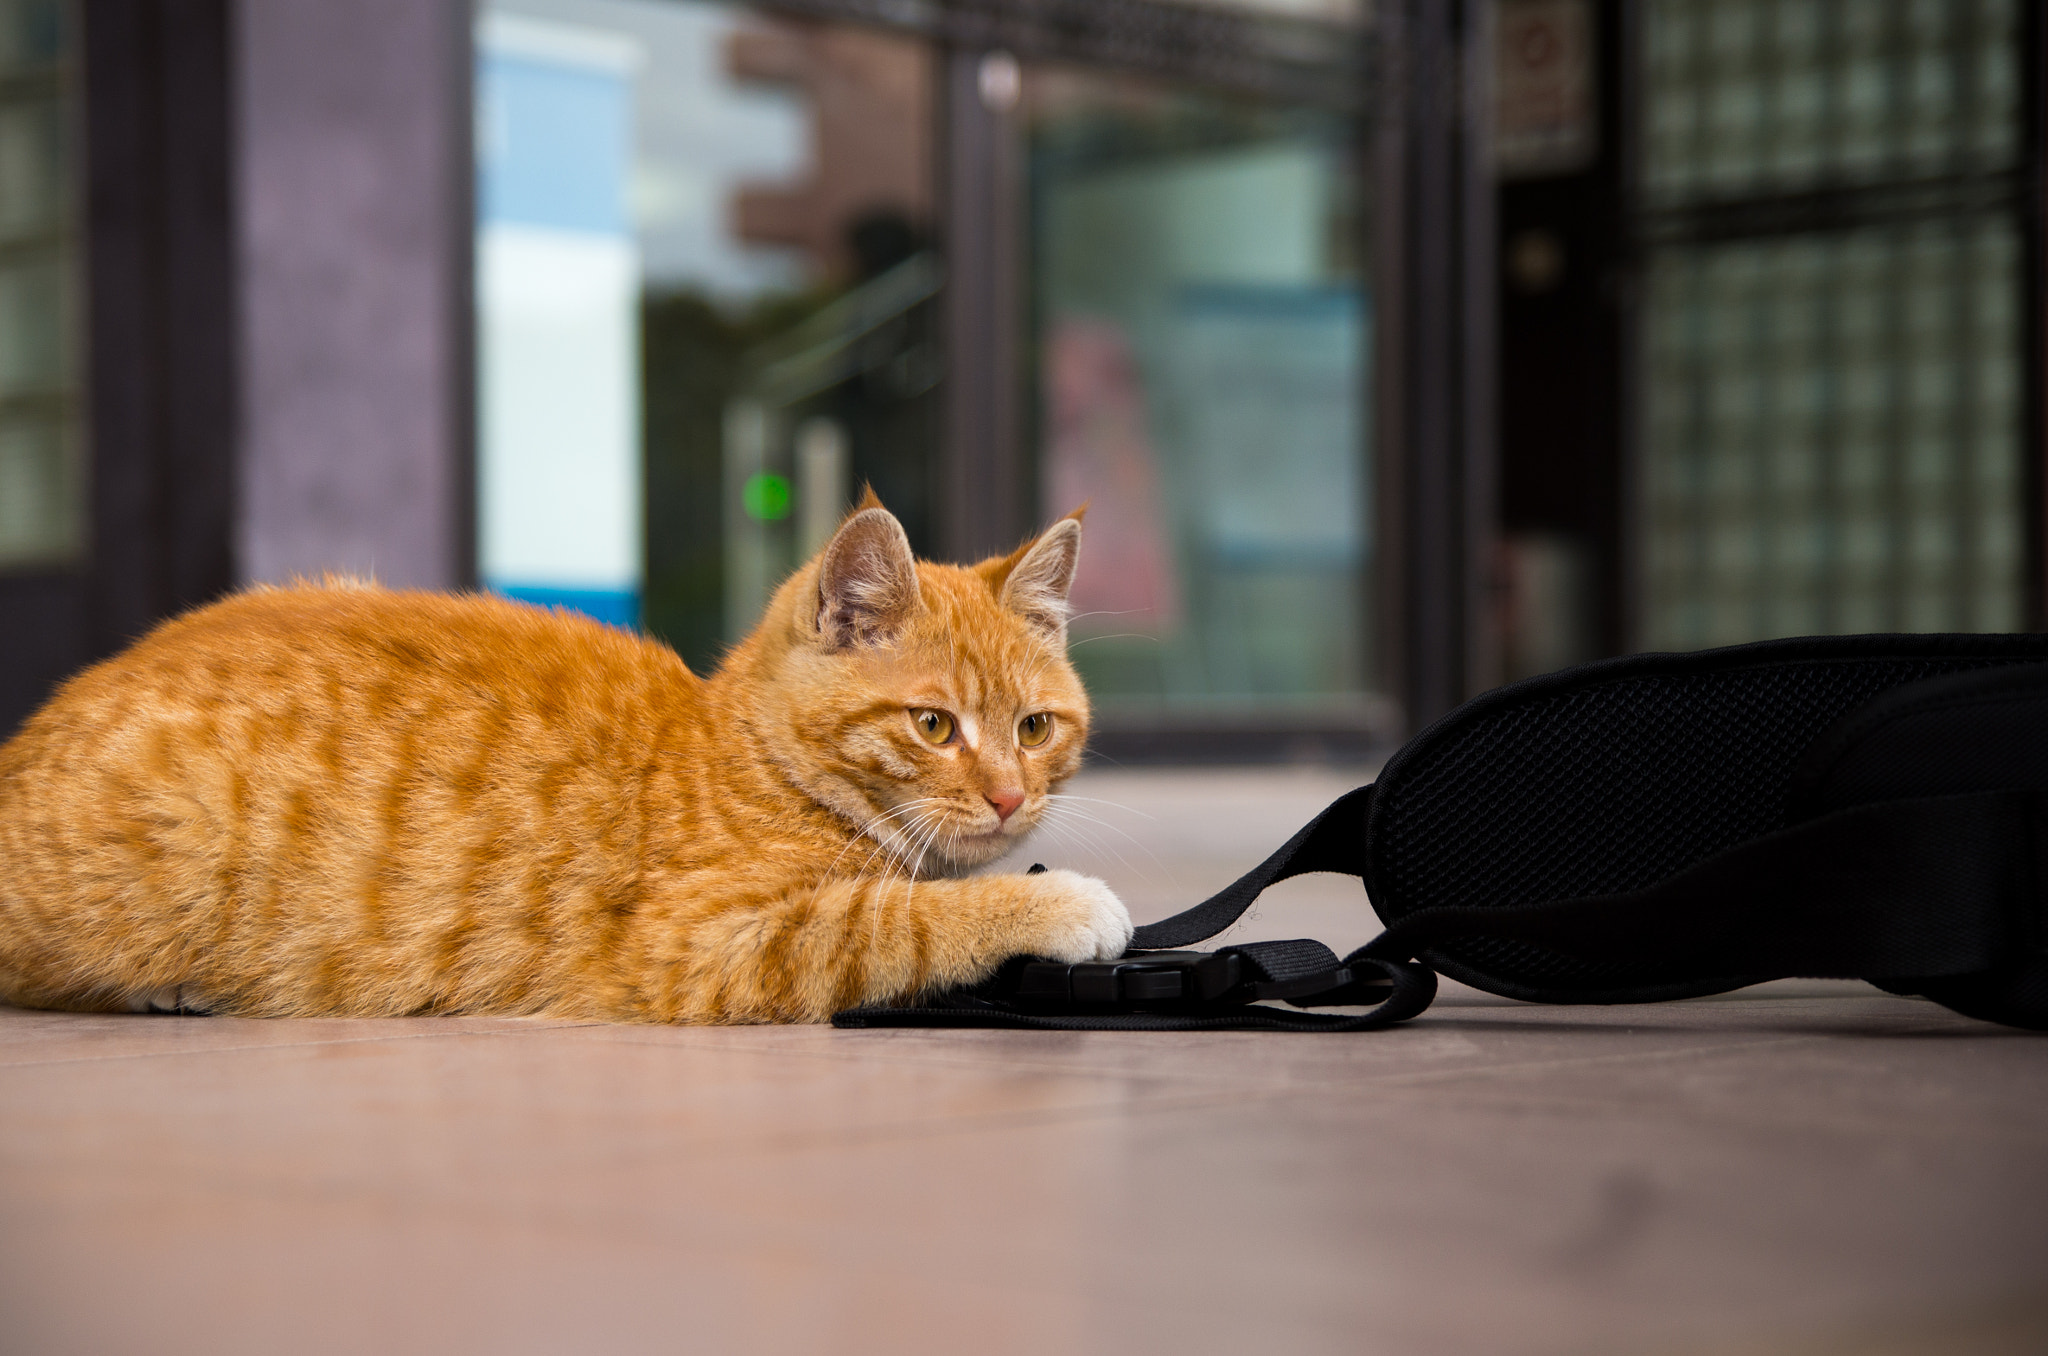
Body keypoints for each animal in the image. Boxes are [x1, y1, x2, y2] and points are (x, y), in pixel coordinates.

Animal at [0, 497, 1138, 1020]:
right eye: (934, 726)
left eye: (1034, 729)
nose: (1008, 799)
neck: (742, 756)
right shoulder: (700, 947)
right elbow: (901, 918)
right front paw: (1056, 901)